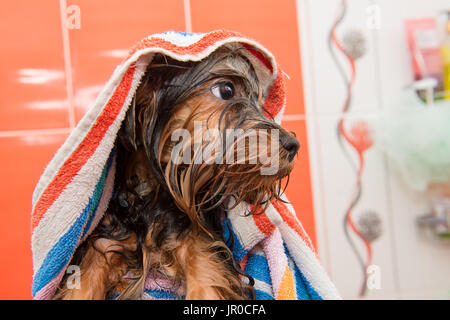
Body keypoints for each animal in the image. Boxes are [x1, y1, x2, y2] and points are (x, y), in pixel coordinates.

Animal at [53, 43, 298, 300]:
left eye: (261, 102)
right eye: (226, 90)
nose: (293, 144)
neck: (152, 197)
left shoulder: (202, 247)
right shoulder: (103, 245)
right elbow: (82, 286)